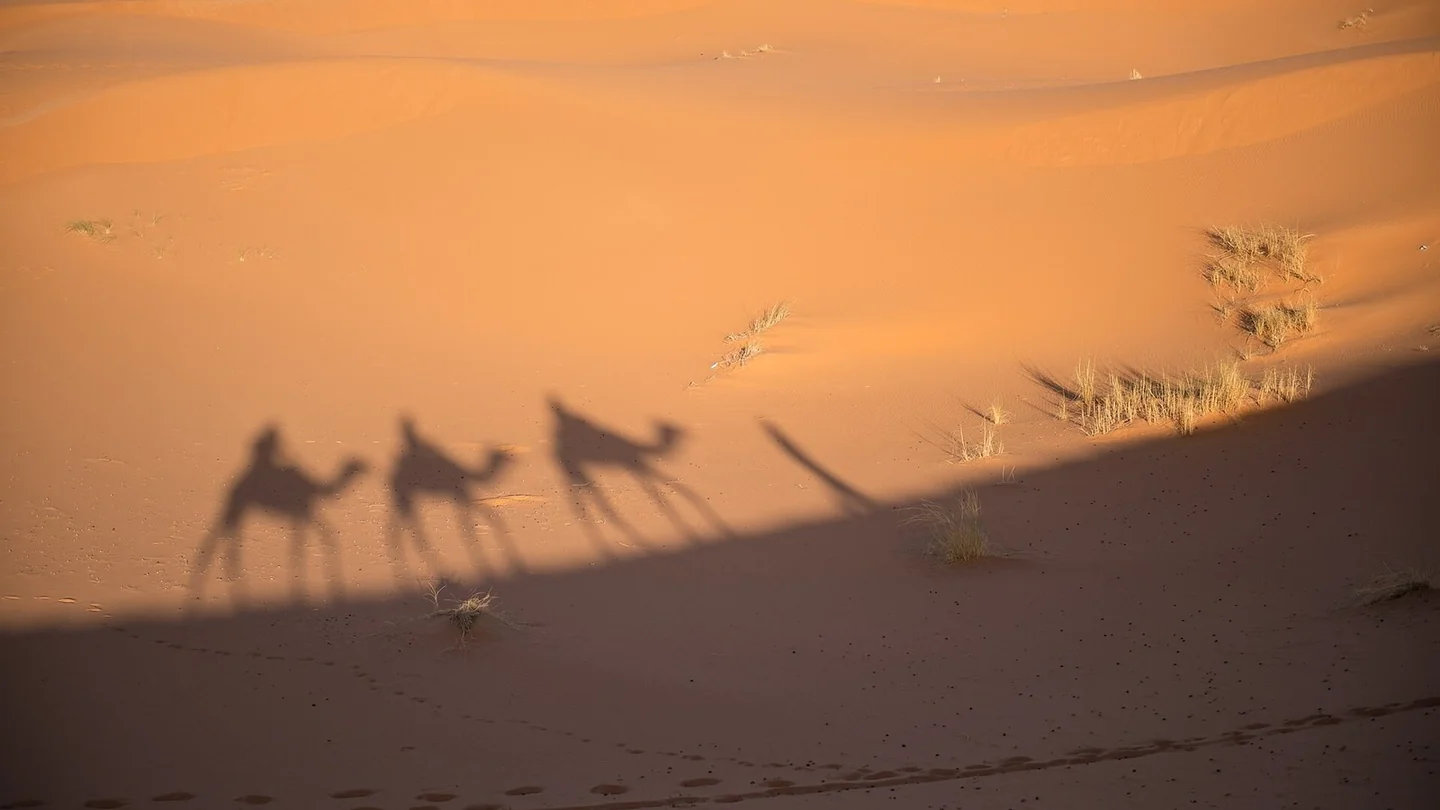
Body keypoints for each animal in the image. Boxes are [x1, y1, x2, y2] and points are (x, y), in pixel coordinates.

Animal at [191, 425, 367, 603]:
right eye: (358, 461)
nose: (370, 466)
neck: (317, 488)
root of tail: (231, 485)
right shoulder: (303, 511)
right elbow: (304, 545)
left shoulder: (302, 513)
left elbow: (318, 538)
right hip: (237, 504)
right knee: (221, 538)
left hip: (238, 508)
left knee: (223, 537)